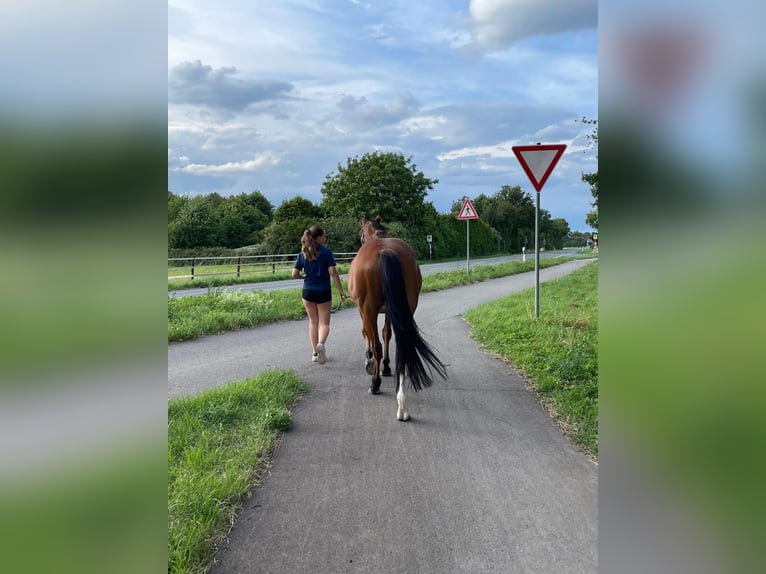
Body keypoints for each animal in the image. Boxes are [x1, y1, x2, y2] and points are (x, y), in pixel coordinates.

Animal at [350, 218, 450, 420]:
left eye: (360, 234)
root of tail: (385, 251)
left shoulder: (363, 312)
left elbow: (368, 335)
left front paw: (369, 361)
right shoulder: (390, 311)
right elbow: (387, 333)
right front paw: (387, 367)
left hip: (369, 310)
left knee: (378, 346)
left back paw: (375, 384)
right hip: (406, 307)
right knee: (402, 343)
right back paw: (401, 402)